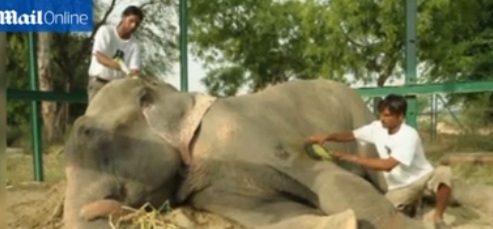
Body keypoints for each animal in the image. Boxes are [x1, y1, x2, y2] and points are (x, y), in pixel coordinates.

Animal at [63, 77, 424, 229]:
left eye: (88, 131)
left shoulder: (250, 132)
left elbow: (330, 181)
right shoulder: (209, 186)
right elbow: (271, 215)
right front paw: (341, 221)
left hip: (361, 114)